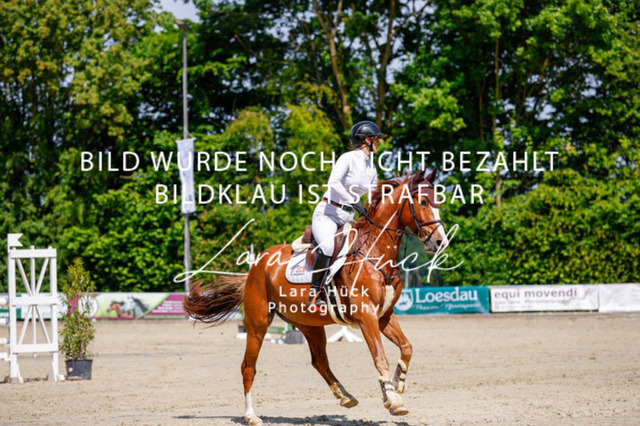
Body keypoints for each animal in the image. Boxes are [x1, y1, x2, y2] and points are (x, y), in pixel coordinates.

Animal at [184, 168, 449, 425]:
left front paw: (398, 383)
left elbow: (406, 347)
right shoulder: (366, 317)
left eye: (438, 202)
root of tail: (255, 267)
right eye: (423, 201)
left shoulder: (384, 316)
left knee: (319, 360)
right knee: (248, 367)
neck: (375, 250)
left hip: (309, 325)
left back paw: (345, 396)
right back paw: (251, 416)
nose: (440, 242)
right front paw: (393, 401)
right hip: (258, 324)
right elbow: (379, 357)